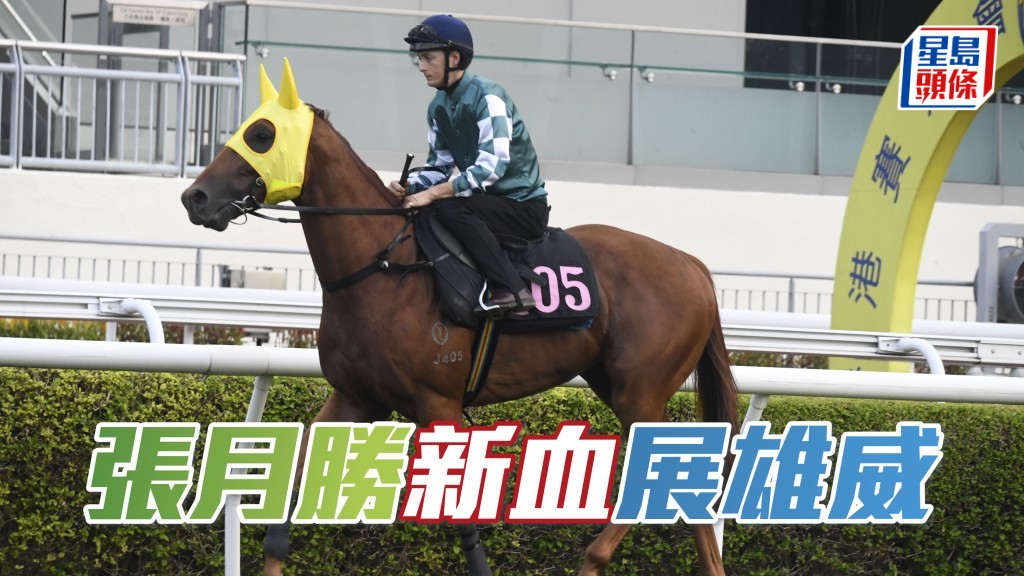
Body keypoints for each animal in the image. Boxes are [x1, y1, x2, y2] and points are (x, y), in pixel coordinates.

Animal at [181, 60, 739, 576]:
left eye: (261, 134)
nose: (194, 197)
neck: (382, 269)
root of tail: (693, 265)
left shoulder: (437, 404)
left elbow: (463, 516)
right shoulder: (356, 396)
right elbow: (296, 475)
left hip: (639, 390)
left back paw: (593, 559)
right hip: (609, 379)